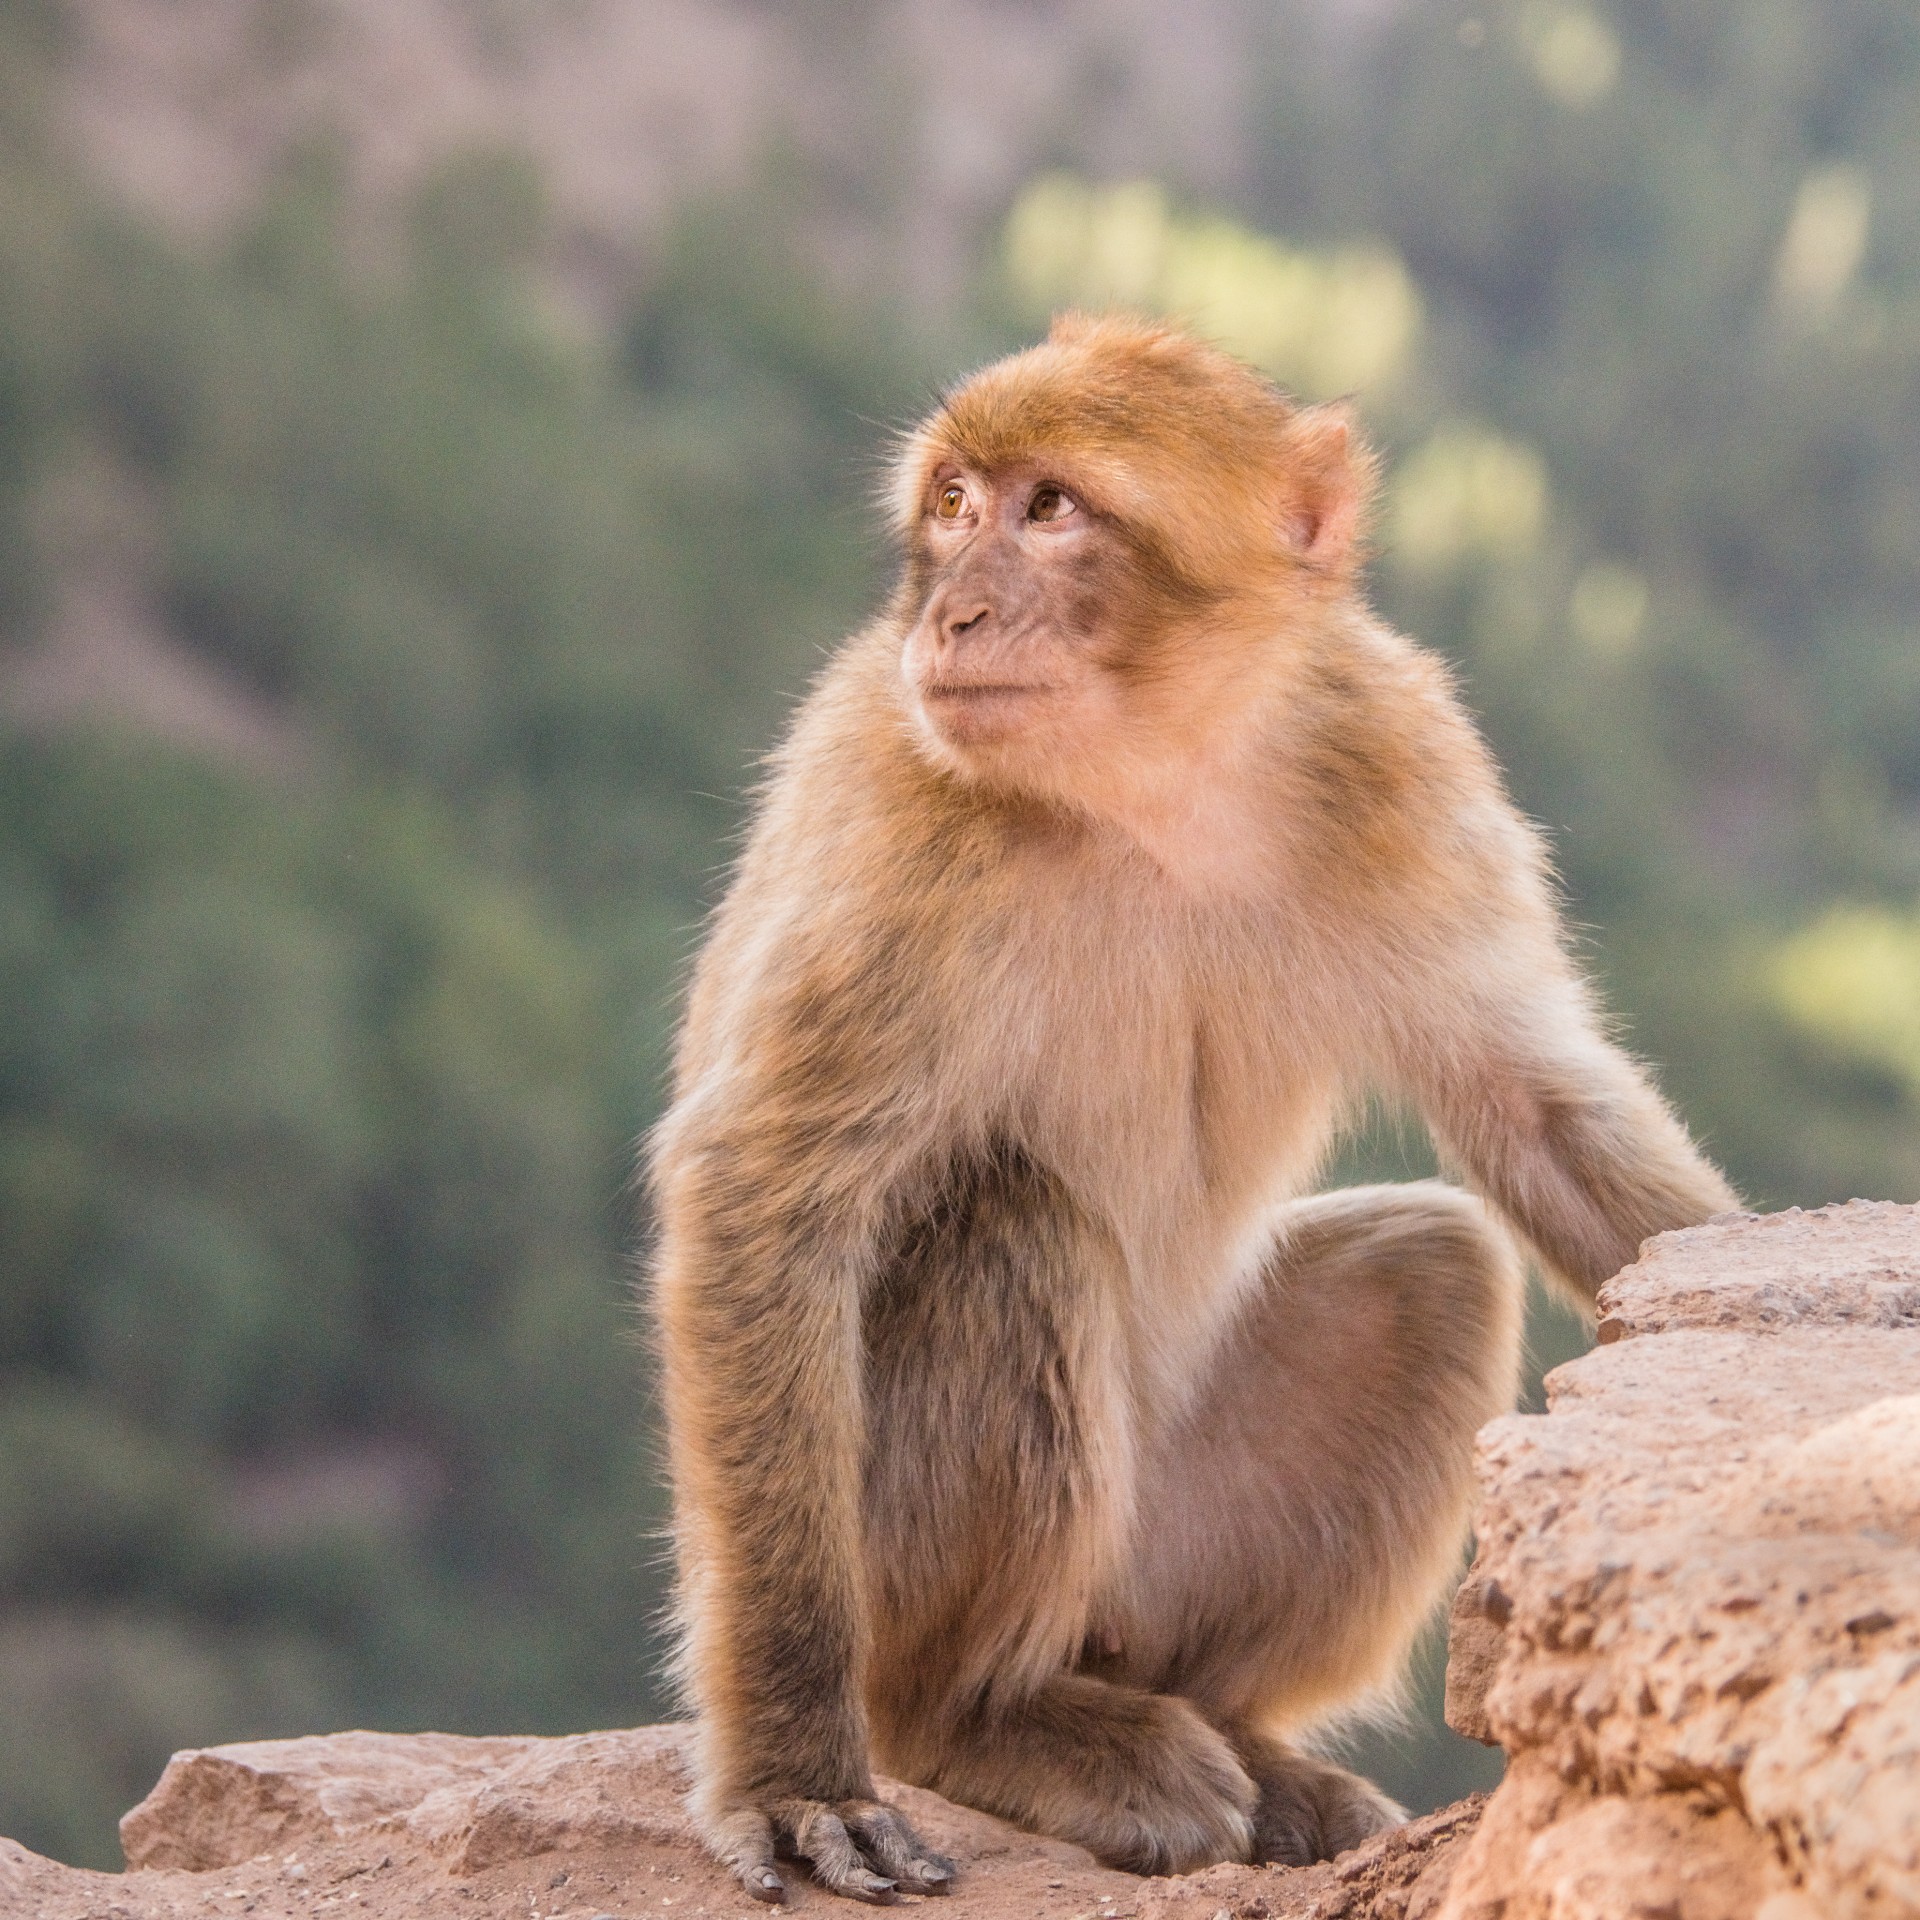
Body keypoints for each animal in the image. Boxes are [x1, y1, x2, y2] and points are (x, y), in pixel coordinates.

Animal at [647, 314, 1736, 1906]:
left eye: (1051, 509)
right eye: (955, 505)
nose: (954, 615)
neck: (1151, 782)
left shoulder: (1401, 758)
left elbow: (1534, 1106)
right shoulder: (898, 811)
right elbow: (765, 1194)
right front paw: (796, 1773)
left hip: (1170, 1561)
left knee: (1430, 1270)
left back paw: (1248, 1745)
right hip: (907, 1560)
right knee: (1011, 1224)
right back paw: (982, 1718)